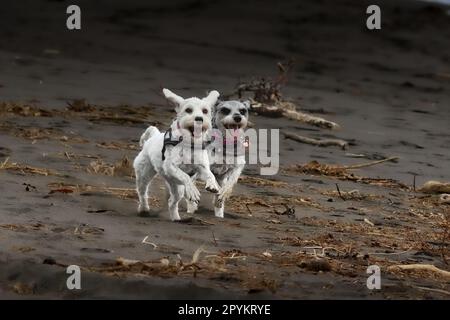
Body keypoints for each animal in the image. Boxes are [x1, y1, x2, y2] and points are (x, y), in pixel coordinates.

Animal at [134, 89, 222, 221]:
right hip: (144, 174)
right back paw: (144, 209)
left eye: (205, 111)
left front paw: (212, 184)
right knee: (142, 192)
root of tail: (154, 135)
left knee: (172, 202)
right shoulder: (170, 166)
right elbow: (186, 177)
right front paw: (193, 191)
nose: (199, 118)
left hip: (177, 187)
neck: (189, 143)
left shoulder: (201, 167)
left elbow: (209, 174)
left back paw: (176, 219)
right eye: (188, 110)